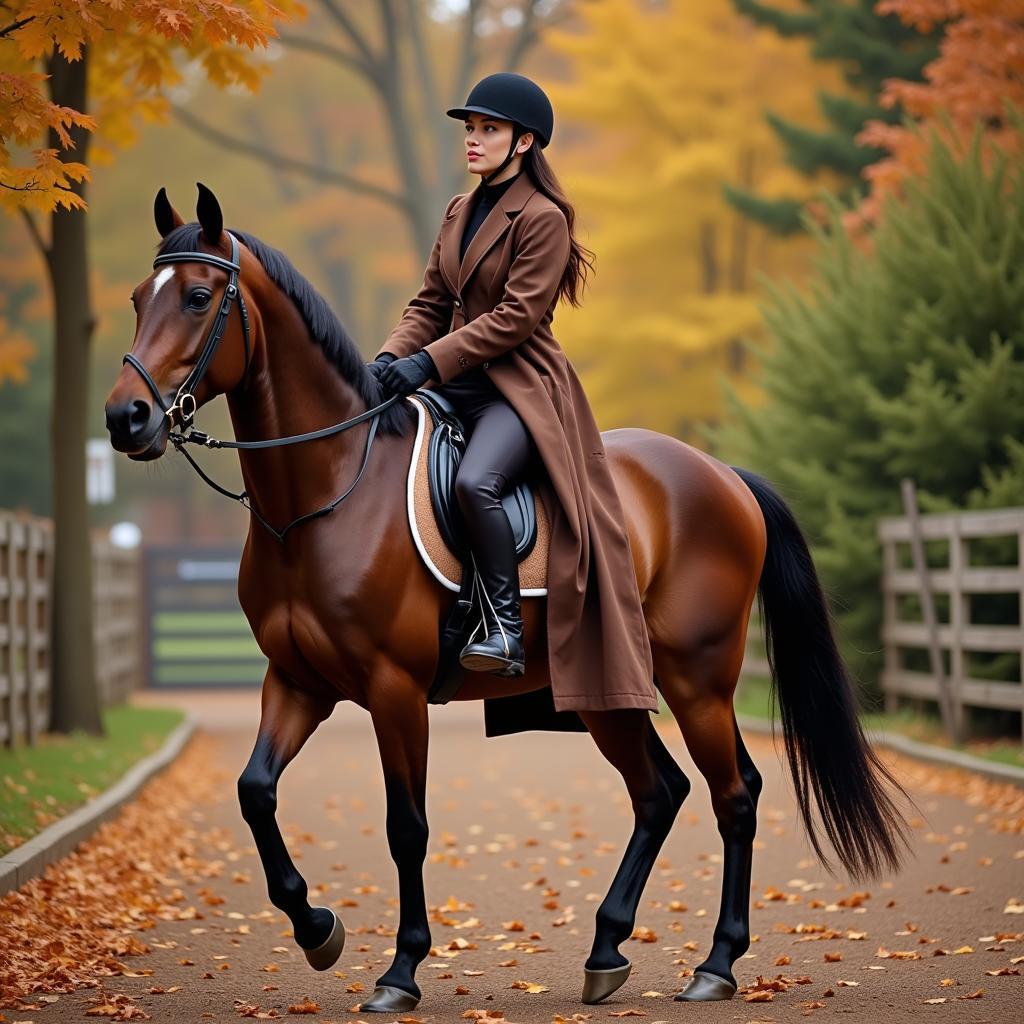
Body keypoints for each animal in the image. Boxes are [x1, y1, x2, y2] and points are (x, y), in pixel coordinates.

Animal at [103, 186, 909, 1015]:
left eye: (198, 298)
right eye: (136, 299)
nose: (125, 418)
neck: (325, 494)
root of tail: (722, 474)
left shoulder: (393, 689)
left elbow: (407, 827)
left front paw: (400, 971)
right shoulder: (297, 682)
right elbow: (255, 792)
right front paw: (317, 927)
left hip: (698, 678)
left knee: (734, 794)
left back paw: (715, 964)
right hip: (605, 687)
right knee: (660, 792)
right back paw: (607, 950)